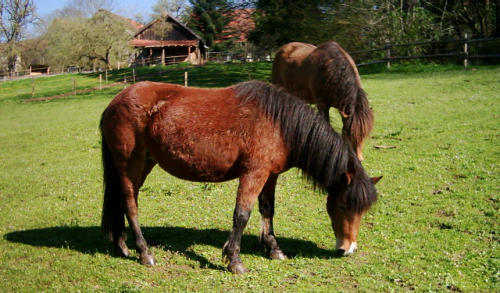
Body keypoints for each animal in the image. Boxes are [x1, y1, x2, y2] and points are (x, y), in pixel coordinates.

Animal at [101, 79, 382, 272]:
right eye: (343, 205)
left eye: (363, 210)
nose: (347, 249)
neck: (279, 124)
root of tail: (113, 103)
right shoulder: (253, 174)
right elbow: (242, 215)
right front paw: (234, 259)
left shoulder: (269, 175)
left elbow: (267, 210)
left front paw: (274, 249)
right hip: (129, 164)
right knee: (130, 205)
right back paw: (144, 252)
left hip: (142, 165)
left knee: (124, 203)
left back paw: (122, 245)